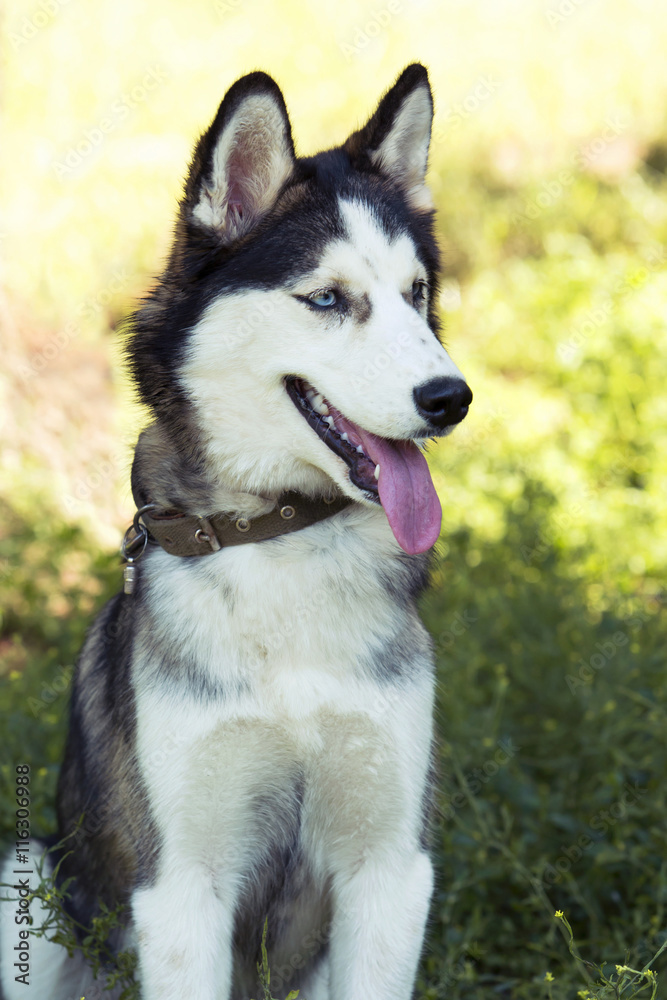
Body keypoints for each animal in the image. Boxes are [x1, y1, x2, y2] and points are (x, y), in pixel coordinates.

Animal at [0, 64, 472, 1000]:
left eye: (416, 296)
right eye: (326, 299)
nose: (451, 398)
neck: (282, 539)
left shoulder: (390, 870)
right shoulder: (181, 888)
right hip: (24, 873)